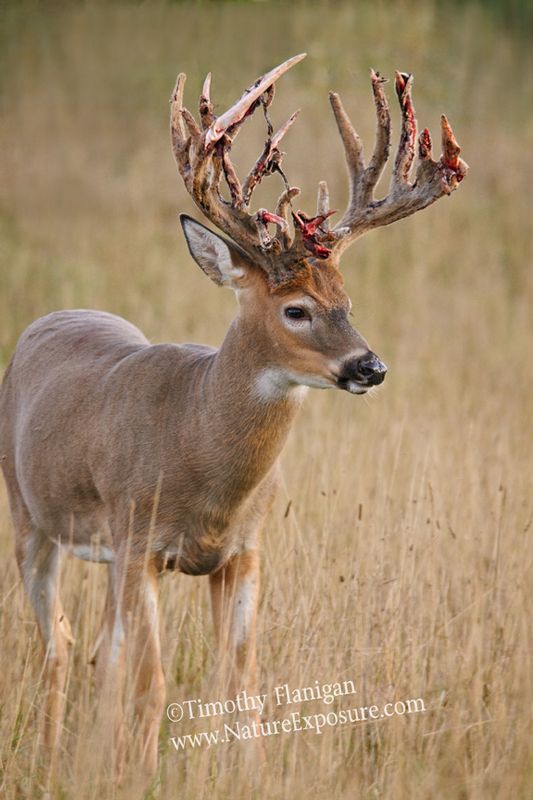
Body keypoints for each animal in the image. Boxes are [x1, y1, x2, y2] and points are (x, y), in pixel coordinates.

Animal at [0, 53, 467, 781]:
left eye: (347, 300)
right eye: (295, 309)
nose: (371, 367)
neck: (196, 448)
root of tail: (49, 317)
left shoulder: (243, 551)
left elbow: (239, 679)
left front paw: (243, 773)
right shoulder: (141, 541)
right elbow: (154, 679)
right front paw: (143, 776)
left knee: (99, 650)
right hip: (31, 518)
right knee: (60, 643)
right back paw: (52, 760)